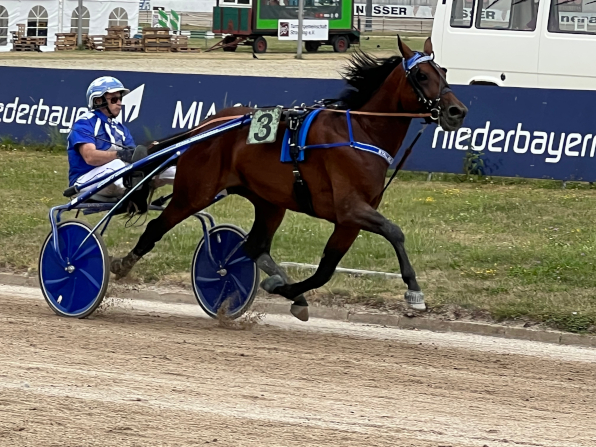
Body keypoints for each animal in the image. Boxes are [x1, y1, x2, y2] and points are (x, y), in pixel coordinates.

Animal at [110, 36, 466, 320]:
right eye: (422, 75)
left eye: (444, 72)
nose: (457, 111)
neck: (361, 131)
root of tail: (204, 127)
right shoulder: (351, 208)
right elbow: (395, 232)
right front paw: (414, 291)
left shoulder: (348, 221)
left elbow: (326, 269)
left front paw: (288, 290)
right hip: (195, 192)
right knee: (156, 227)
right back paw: (120, 265)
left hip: (269, 202)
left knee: (254, 246)